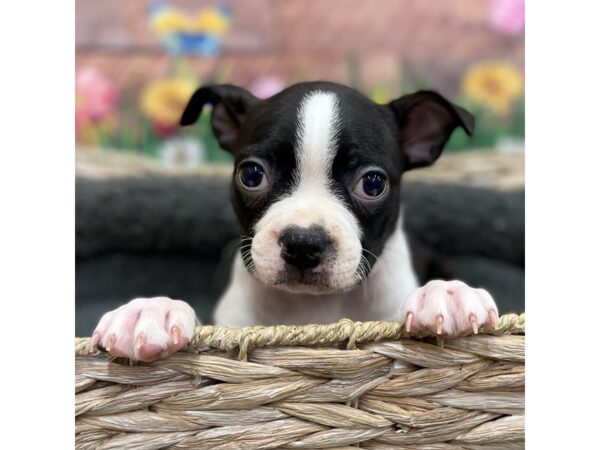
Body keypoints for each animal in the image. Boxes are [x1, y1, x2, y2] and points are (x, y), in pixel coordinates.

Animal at [90, 81, 496, 362]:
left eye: (373, 183)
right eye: (251, 175)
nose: (304, 243)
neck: (313, 305)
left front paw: (446, 294)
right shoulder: (232, 325)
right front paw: (151, 310)